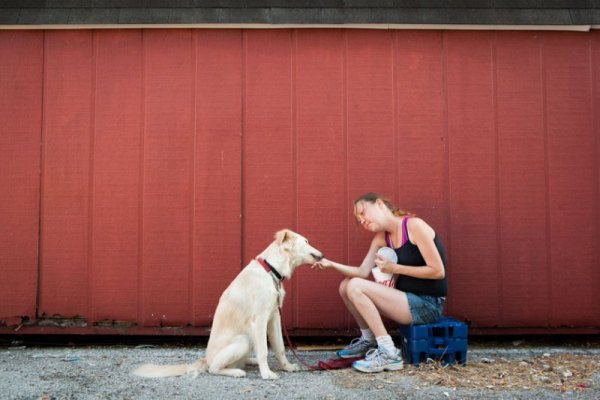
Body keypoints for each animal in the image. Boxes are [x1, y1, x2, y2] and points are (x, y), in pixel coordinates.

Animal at [133, 230, 324, 380]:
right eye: (307, 241)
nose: (322, 255)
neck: (270, 270)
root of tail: (205, 359)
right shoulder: (260, 319)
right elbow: (264, 350)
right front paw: (266, 374)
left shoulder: (275, 317)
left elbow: (280, 347)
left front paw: (287, 367)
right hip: (243, 340)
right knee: (214, 368)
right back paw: (236, 372)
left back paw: (250, 361)